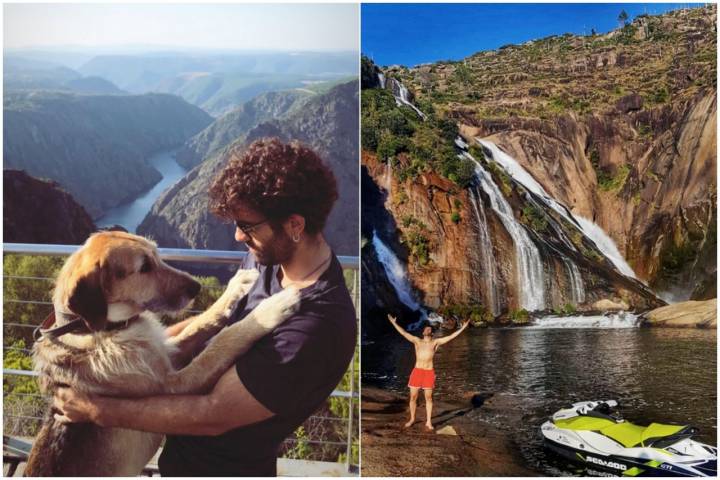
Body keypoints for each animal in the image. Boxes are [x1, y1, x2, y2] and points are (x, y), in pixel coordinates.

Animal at [23, 232, 298, 476]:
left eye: (157, 254)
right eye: (144, 267)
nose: (197, 287)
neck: (94, 329)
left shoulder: (169, 351)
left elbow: (205, 320)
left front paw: (237, 286)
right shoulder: (174, 384)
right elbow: (221, 343)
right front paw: (270, 309)